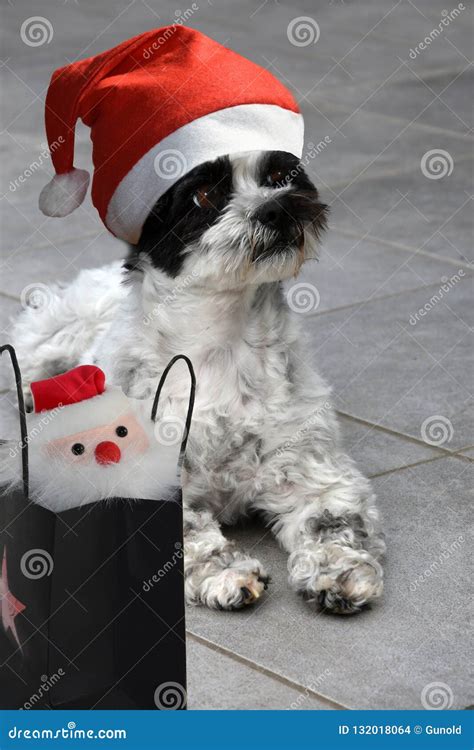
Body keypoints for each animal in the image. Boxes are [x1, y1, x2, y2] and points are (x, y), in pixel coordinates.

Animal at [12, 151, 386, 616]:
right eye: (204, 193)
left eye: (281, 175)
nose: (277, 208)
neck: (220, 349)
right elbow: (188, 533)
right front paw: (226, 572)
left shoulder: (314, 472)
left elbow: (332, 523)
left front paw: (338, 571)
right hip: (43, 342)